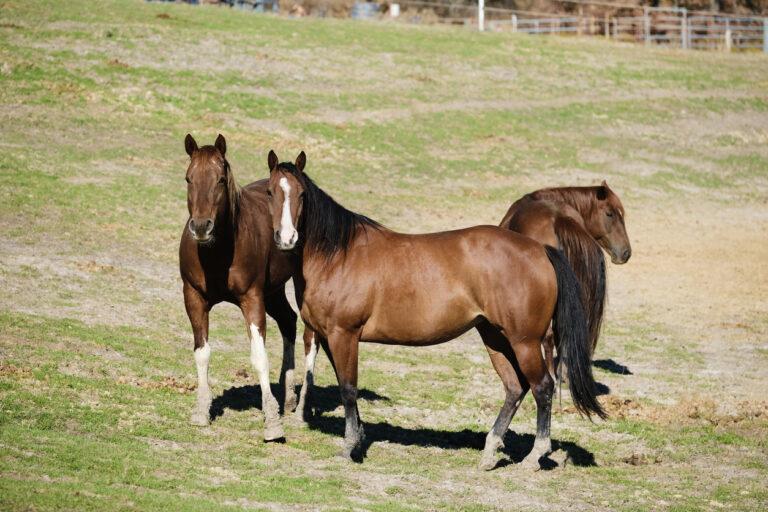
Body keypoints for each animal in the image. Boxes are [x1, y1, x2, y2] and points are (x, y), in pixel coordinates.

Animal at [179, 134, 312, 441]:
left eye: (219, 179)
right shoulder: (193, 297)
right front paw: (201, 411)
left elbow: (259, 357)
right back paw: (288, 396)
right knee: (288, 321)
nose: (201, 227)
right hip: (273, 292)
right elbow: (202, 352)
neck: (218, 252)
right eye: (189, 178)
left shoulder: (252, 299)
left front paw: (272, 423)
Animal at [265, 151, 605, 469]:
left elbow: (349, 389)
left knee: (542, 387)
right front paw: (358, 436)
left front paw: (349, 447)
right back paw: (490, 451)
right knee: (515, 387)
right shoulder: (329, 337)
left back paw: (535, 455)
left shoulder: (343, 335)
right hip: (495, 337)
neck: (338, 255)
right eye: (270, 192)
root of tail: (540, 250)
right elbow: (345, 387)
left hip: (525, 342)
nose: (286, 238)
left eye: (302, 194)